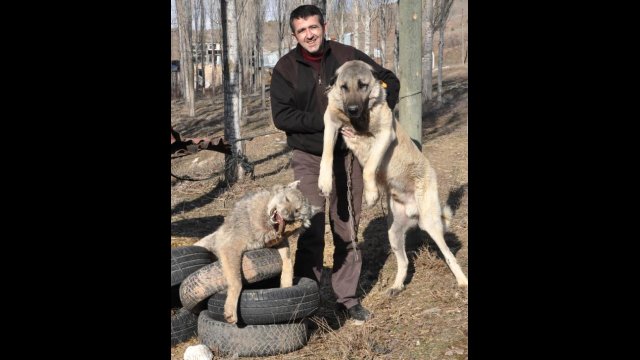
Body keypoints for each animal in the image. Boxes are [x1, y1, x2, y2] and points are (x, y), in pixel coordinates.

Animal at [191, 180, 318, 324]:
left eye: (297, 211)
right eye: (287, 199)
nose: (288, 215)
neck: (265, 225)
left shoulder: (280, 243)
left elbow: (288, 262)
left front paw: (287, 284)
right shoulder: (230, 247)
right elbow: (237, 282)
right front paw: (231, 311)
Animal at [318, 60, 468, 294]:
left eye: (362, 85)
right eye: (343, 87)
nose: (352, 109)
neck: (359, 120)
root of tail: (414, 212)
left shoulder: (384, 136)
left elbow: (370, 166)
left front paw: (371, 194)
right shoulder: (331, 123)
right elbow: (326, 153)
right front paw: (324, 181)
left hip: (431, 224)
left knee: (449, 255)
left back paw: (462, 280)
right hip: (394, 233)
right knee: (404, 261)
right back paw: (397, 286)